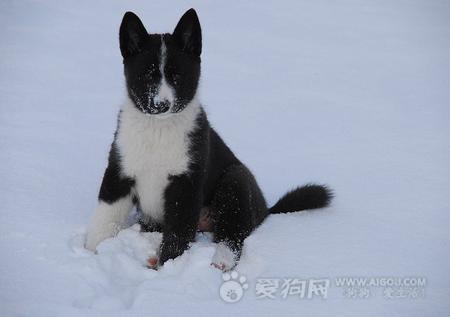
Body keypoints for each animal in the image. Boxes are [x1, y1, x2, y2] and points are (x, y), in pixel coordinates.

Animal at [85, 8, 330, 270]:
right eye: (147, 75)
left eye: (177, 76)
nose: (161, 105)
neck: (158, 130)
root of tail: (266, 209)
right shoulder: (119, 171)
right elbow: (105, 218)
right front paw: (90, 253)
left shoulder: (186, 184)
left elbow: (178, 233)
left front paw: (169, 267)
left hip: (235, 181)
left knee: (232, 233)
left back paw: (221, 260)